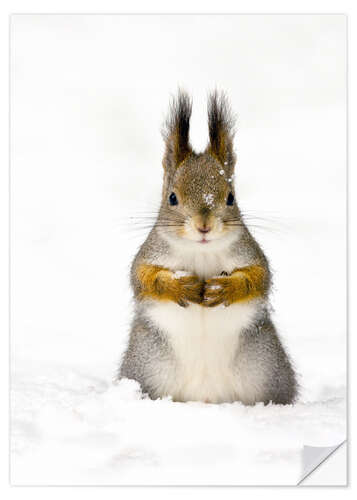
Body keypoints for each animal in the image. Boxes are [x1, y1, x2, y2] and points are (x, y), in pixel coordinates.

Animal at [118, 92, 296, 406]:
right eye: (172, 198)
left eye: (231, 197)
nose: (204, 226)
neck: (200, 251)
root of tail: (206, 398)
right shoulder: (150, 253)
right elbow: (142, 278)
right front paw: (178, 286)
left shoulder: (250, 253)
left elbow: (260, 278)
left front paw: (228, 288)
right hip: (146, 366)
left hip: (266, 368)